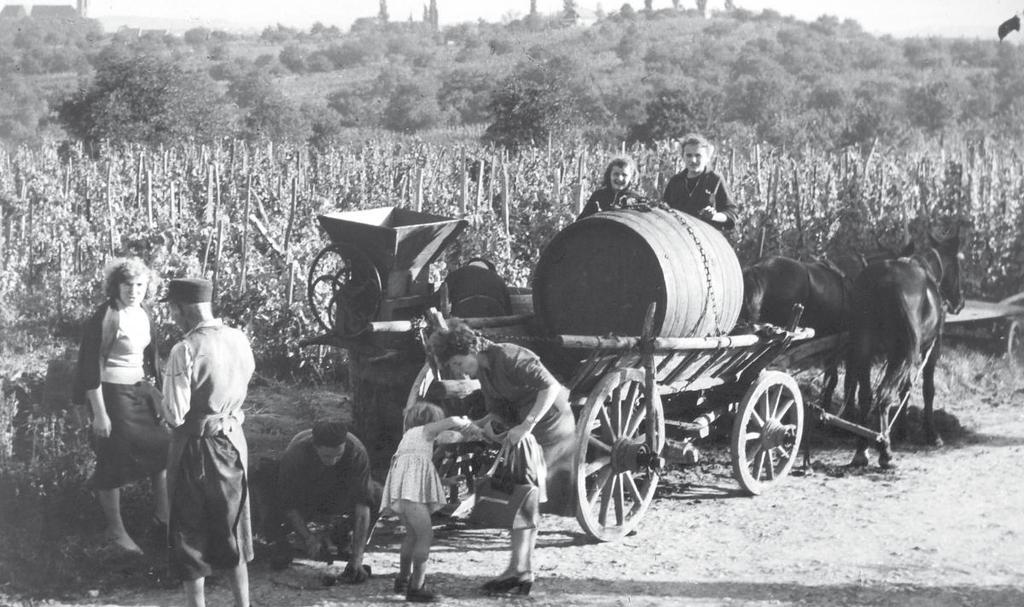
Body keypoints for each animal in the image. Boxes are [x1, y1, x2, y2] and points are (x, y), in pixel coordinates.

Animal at [843, 229, 962, 466]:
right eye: (958, 266)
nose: (960, 301)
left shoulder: (902, 353)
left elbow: (904, 388)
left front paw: (902, 430)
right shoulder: (930, 349)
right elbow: (927, 390)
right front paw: (932, 434)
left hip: (866, 349)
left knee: (866, 396)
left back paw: (862, 449)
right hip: (901, 353)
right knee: (883, 396)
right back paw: (885, 451)